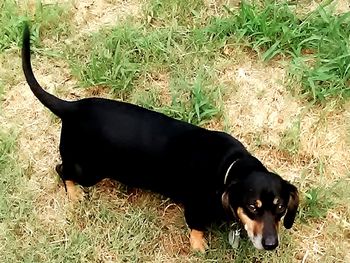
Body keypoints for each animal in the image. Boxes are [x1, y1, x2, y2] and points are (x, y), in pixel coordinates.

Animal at [22, 23, 298, 253]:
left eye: (280, 208)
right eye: (253, 207)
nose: (271, 244)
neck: (228, 167)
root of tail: (72, 107)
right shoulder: (195, 209)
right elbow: (196, 228)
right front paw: (199, 245)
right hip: (89, 170)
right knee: (61, 169)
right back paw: (74, 193)